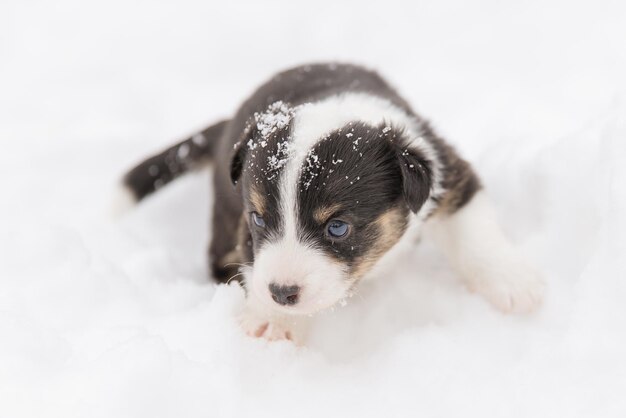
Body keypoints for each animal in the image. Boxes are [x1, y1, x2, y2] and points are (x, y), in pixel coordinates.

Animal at [119, 62, 544, 342]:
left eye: (337, 227)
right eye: (259, 219)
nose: (281, 293)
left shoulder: (446, 169)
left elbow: (473, 228)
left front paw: (513, 282)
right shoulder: (243, 227)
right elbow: (252, 263)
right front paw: (272, 319)